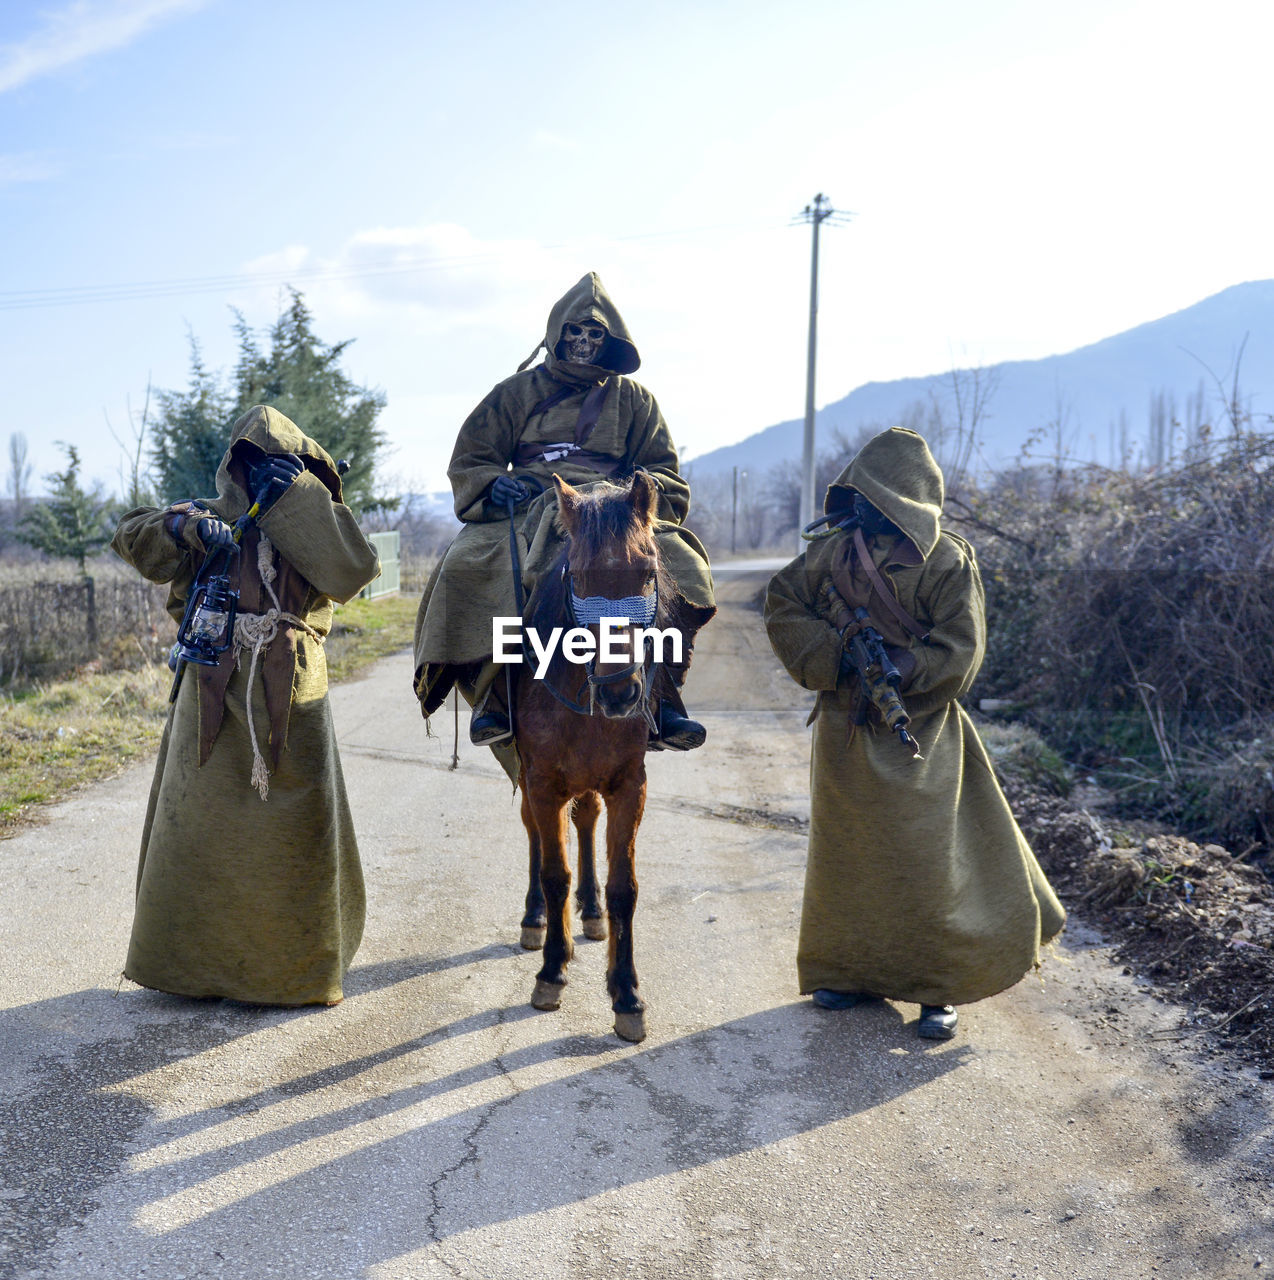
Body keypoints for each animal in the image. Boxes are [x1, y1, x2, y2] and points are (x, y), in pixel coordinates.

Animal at [509, 471, 670, 1039]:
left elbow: (625, 887)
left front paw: (627, 994)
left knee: (584, 821)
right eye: (576, 576)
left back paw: (592, 909)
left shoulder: (629, 786)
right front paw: (552, 971)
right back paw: (536, 919)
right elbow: (554, 873)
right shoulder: (541, 782)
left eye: (647, 572)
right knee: (536, 835)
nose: (621, 692)